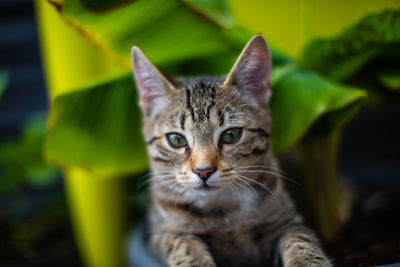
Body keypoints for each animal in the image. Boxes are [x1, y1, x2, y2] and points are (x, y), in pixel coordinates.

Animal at [131, 35, 332, 267]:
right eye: (176, 139)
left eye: (231, 135)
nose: (203, 171)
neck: (222, 210)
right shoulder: (162, 231)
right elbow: (184, 245)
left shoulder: (287, 220)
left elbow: (300, 239)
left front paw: (306, 261)